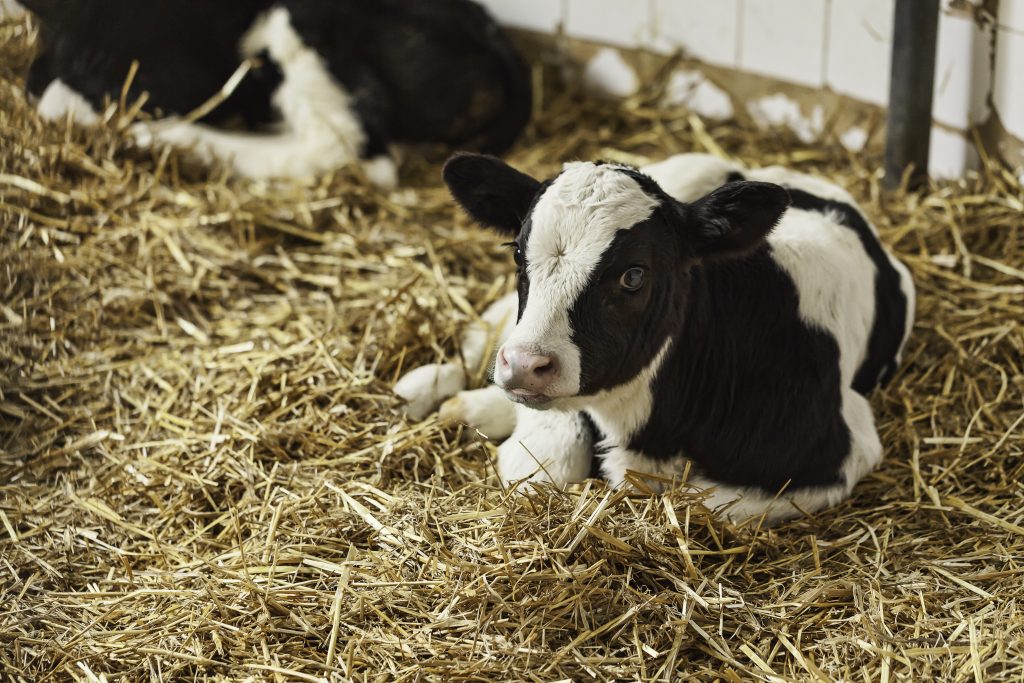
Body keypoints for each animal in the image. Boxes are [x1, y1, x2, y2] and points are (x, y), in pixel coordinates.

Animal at [395, 153, 915, 523]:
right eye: (518, 254)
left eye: (634, 275)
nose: (524, 364)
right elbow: (545, 462)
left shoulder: (845, 447)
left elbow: (702, 504)